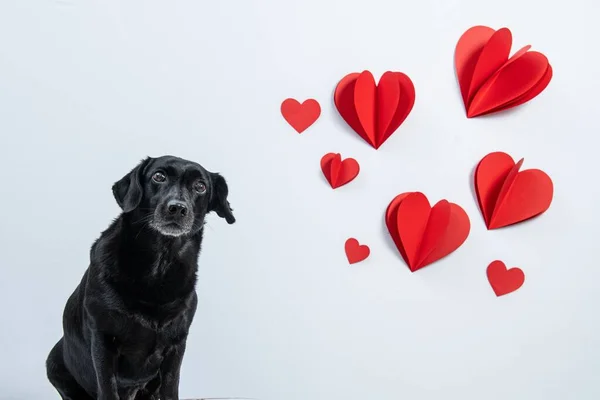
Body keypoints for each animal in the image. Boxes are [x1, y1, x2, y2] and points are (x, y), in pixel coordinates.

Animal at [45, 156, 234, 400]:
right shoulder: (103, 340)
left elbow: (171, 388)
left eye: (200, 186)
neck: (159, 265)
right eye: (158, 176)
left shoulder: (176, 345)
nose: (177, 208)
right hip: (54, 363)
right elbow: (107, 390)